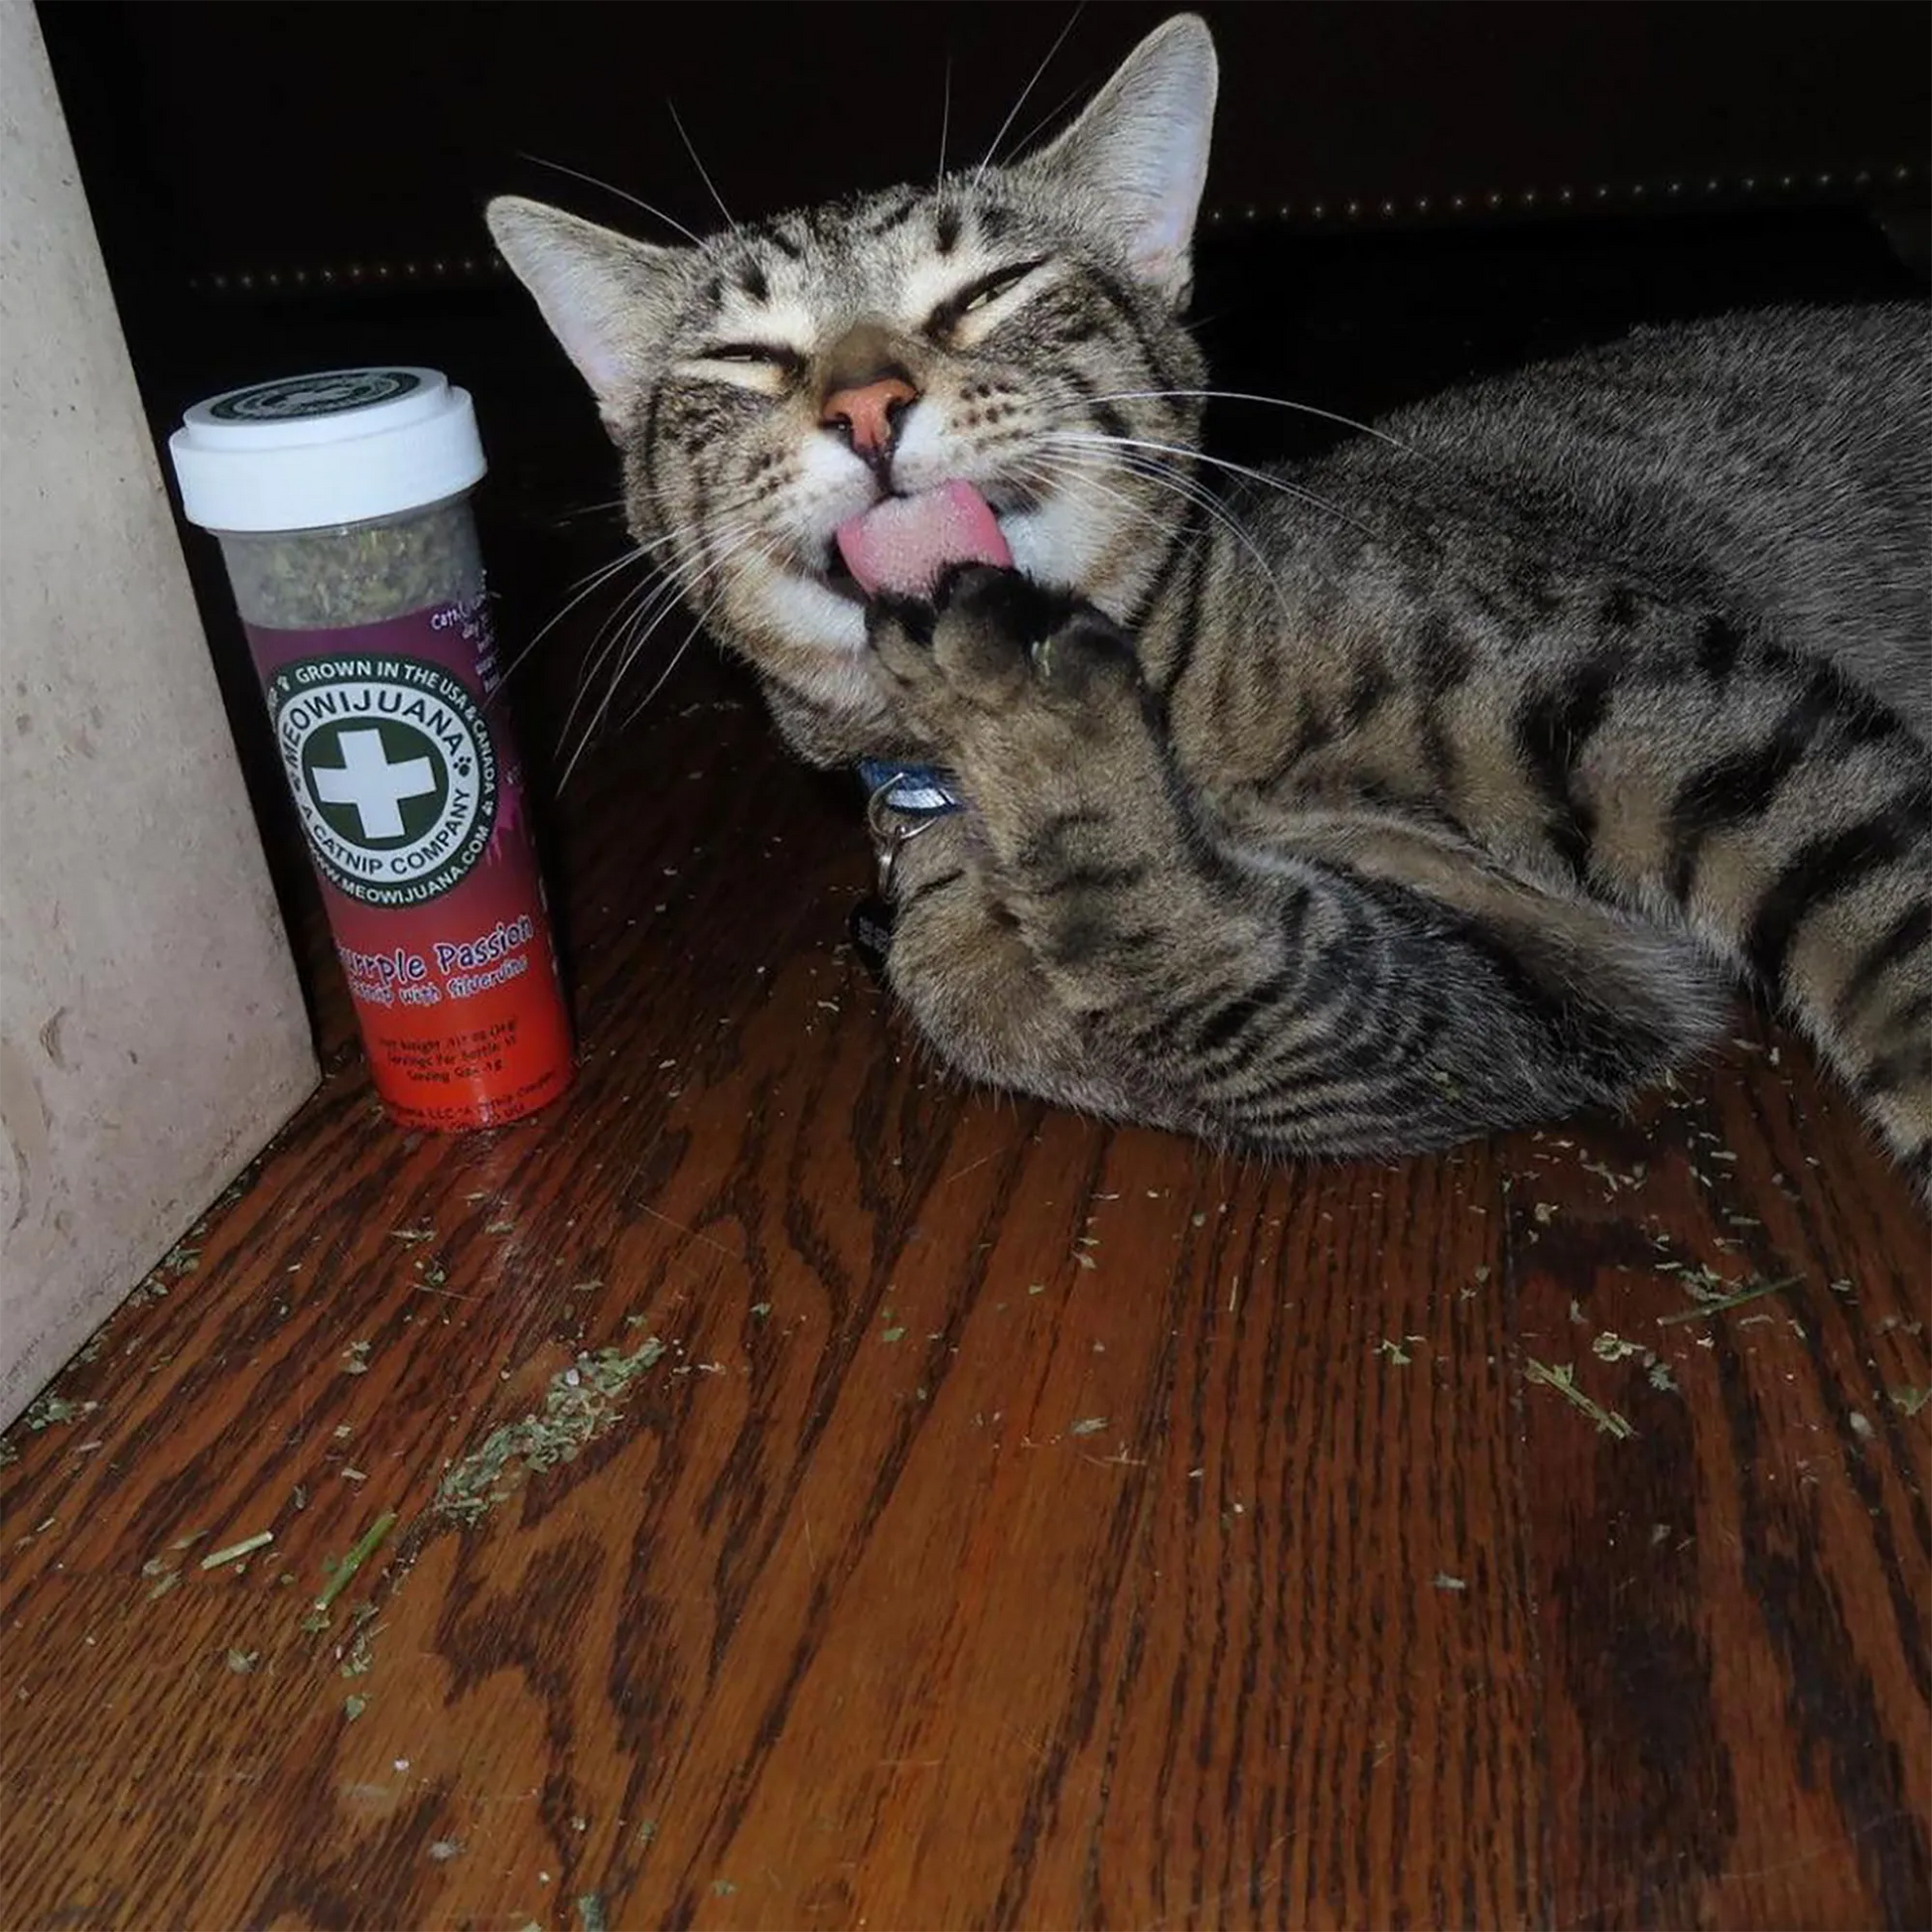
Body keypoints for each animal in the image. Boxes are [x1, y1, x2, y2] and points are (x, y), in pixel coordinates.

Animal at [490, 11, 1932, 1189]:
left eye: (986, 293)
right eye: (745, 358)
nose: (864, 403)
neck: (1189, 715)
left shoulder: (1682, 709)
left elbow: (1886, 932)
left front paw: (1020, 711)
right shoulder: (1535, 984)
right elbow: (1153, 957)